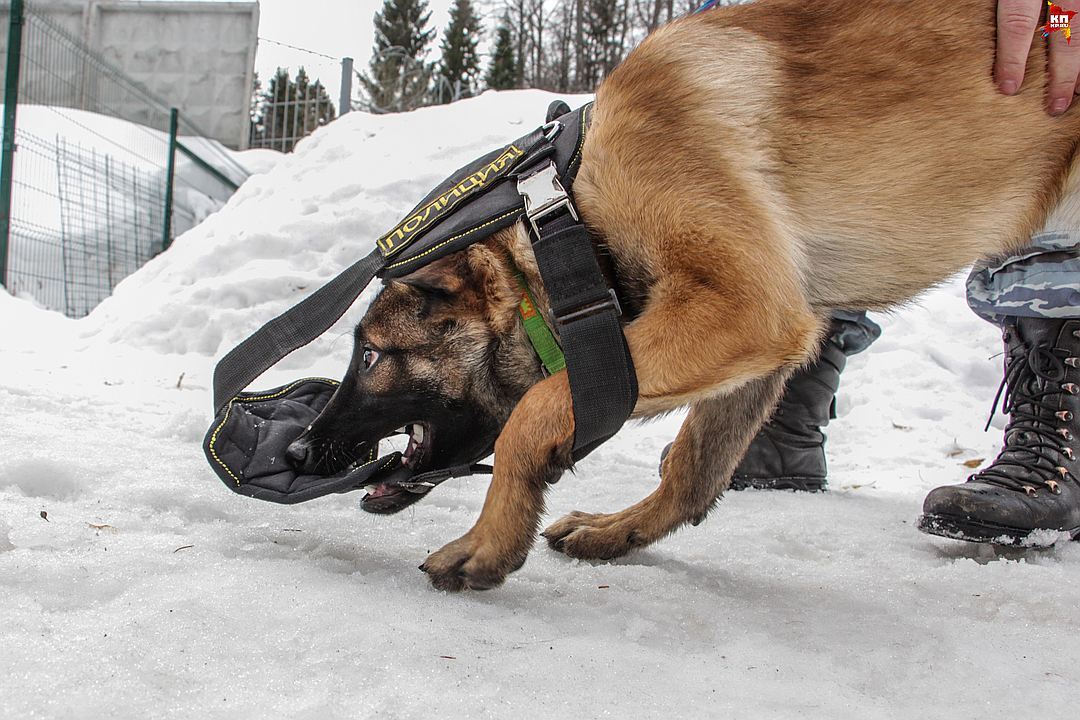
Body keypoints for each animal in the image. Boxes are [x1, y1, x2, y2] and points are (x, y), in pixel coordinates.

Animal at [300, 0, 1080, 587]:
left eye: (371, 356)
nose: (303, 449)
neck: (569, 213)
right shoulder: (761, 339)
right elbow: (694, 464)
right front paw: (616, 531)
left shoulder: (741, 307)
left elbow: (538, 406)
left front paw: (489, 543)